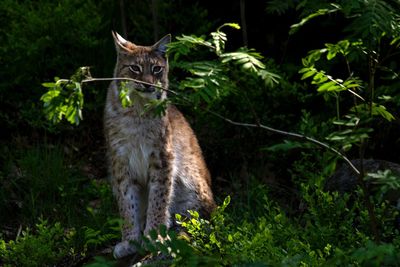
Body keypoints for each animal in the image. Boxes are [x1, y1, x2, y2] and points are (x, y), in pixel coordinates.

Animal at [103, 31, 216, 260]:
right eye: (135, 69)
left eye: (157, 69)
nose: (148, 85)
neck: (137, 109)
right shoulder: (120, 160)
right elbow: (127, 203)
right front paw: (130, 241)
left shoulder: (162, 158)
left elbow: (158, 199)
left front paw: (154, 237)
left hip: (192, 184)